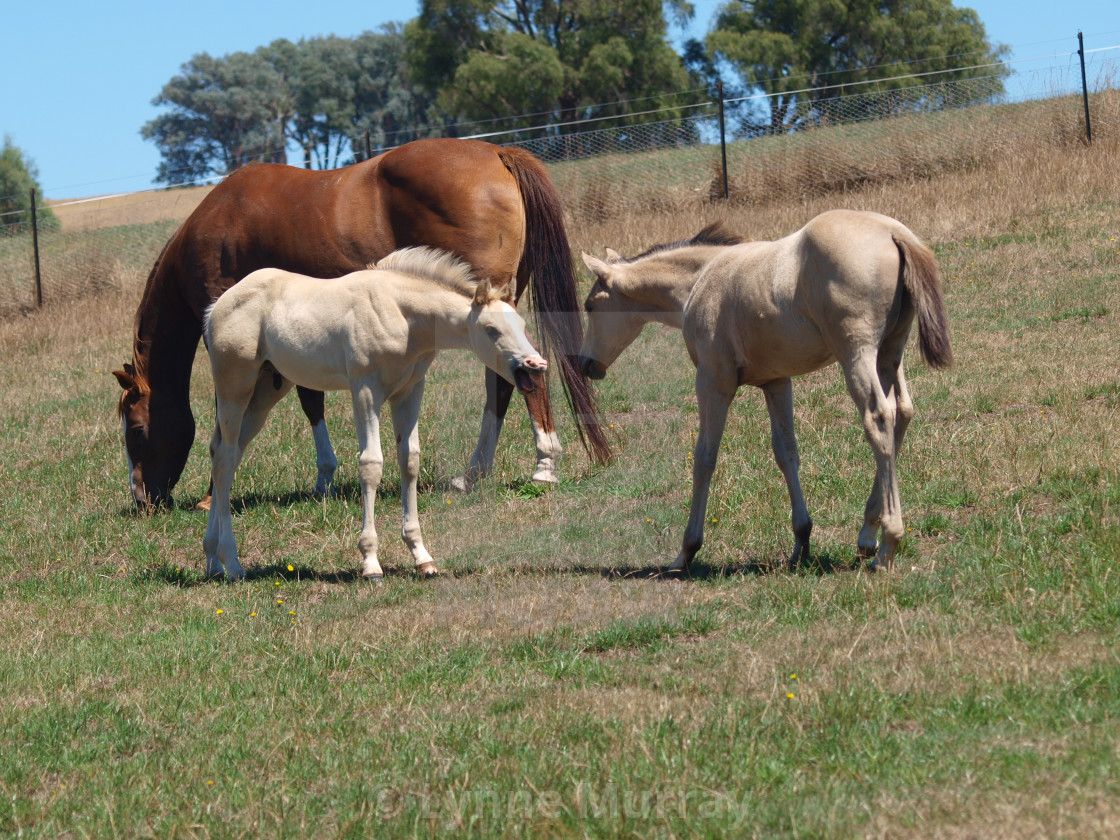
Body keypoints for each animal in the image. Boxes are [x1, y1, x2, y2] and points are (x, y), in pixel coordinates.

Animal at [113, 138, 613, 510]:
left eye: (136, 429)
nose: (143, 500)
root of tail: (495, 153)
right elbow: (310, 400)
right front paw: (324, 479)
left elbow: (256, 411)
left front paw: (218, 493)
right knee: (504, 382)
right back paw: (473, 475)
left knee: (523, 378)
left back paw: (543, 467)